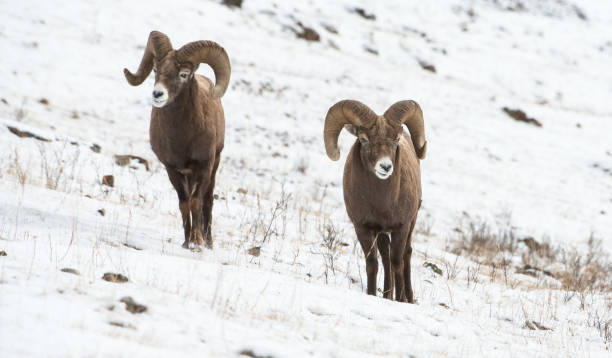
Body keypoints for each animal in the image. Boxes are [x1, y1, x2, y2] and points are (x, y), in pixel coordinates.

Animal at [123, 30, 231, 249]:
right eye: (156, 70)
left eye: (183, 74)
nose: (158, 94)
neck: (182, 138)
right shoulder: (172, 169)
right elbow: (184, 204)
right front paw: (187, 242)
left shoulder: (204, 166)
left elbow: (197, 201)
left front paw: (198, 242)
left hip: (214, 164)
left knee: (207, 200)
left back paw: (208, 242)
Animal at [322, 99, 428, 304]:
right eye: (364, 139)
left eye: (396, 139)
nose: (385, 167)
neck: (382, 203)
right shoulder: (363, 228)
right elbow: (373, 263)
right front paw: (372, 294)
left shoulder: (401, 227)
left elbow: (397, 262)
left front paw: (401, 300)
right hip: (382, 233)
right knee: (385, 258)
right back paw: (387, 295)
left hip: (411, 224)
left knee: (406, 254)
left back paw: (407, 298)